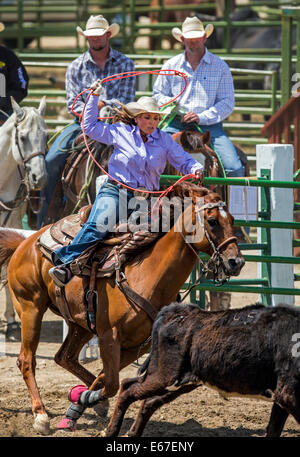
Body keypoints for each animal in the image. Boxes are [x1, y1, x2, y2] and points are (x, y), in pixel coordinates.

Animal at [0, 181, 244, 432]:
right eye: (212, 220)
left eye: (232, 219)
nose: (236, 262)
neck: (148, 275)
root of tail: (25, 243)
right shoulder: (110, 336)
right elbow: (111, 383)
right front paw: (85, 401)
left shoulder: (137, 345)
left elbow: (105, 379)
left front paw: (80, 404)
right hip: (30, 308)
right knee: (26, 360)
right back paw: (41, 416)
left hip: (81, 324)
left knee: (64, 356)